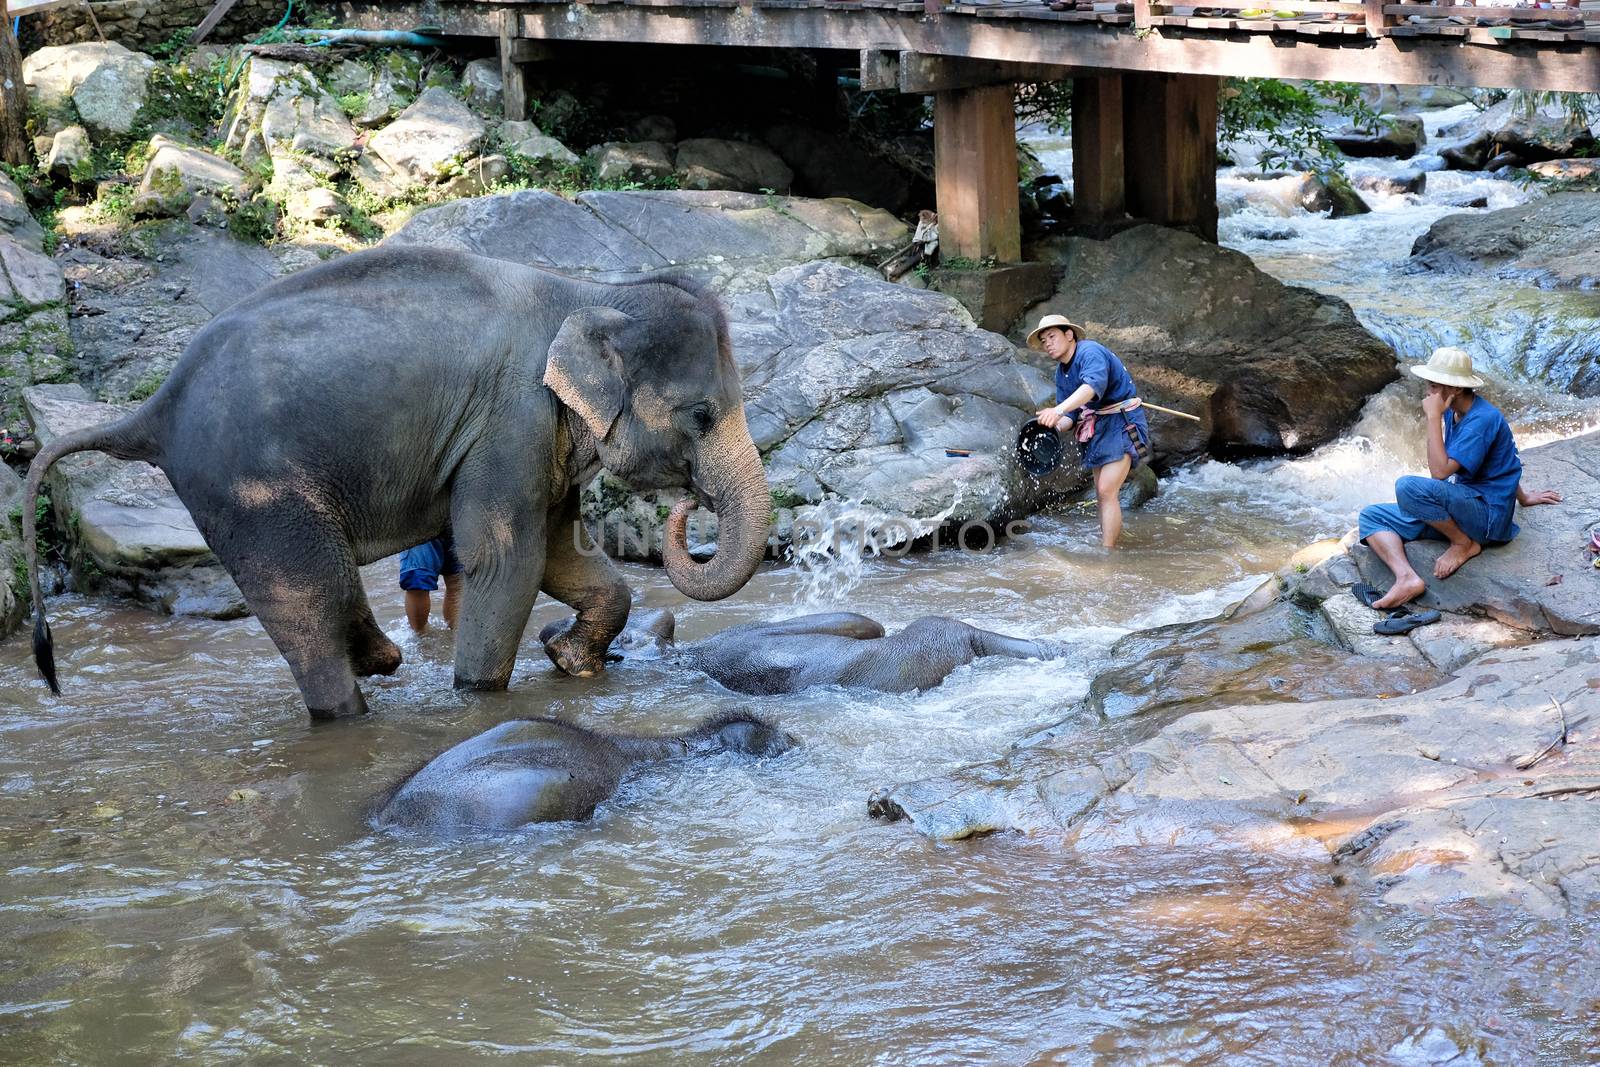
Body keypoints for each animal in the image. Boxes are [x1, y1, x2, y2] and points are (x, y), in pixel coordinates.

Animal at [21, 246, 771, 723]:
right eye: (702, 416)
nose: (689, 506)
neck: (592, 294)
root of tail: (155, 410)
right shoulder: (512, 418)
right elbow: (509, 556)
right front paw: (479, 695)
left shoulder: (540, 439)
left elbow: (561, 550)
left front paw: (568, 658)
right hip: (250, 488)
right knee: (307, 593)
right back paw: (352, 706)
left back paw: (379, 658)